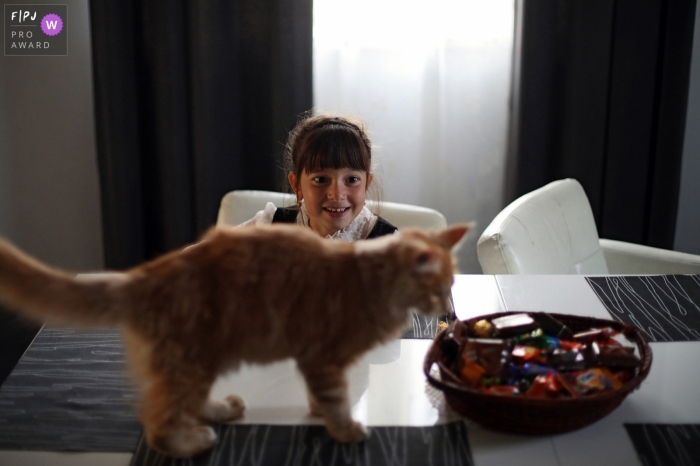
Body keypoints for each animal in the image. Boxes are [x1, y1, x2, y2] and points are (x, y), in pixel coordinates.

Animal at [1, 223, 470, 458]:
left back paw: (221, 410)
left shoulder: (316, 362)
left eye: (450, 286)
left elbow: (321, 398)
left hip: (202, 362)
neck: (369, 285)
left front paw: (319, 415)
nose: (448, 312)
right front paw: (345, 429)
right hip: (191, 362)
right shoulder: (322, 358)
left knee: (183, 404)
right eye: (438, 288)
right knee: (158, 423)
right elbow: (336, 399)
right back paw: (193, 442)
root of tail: (143, 277)